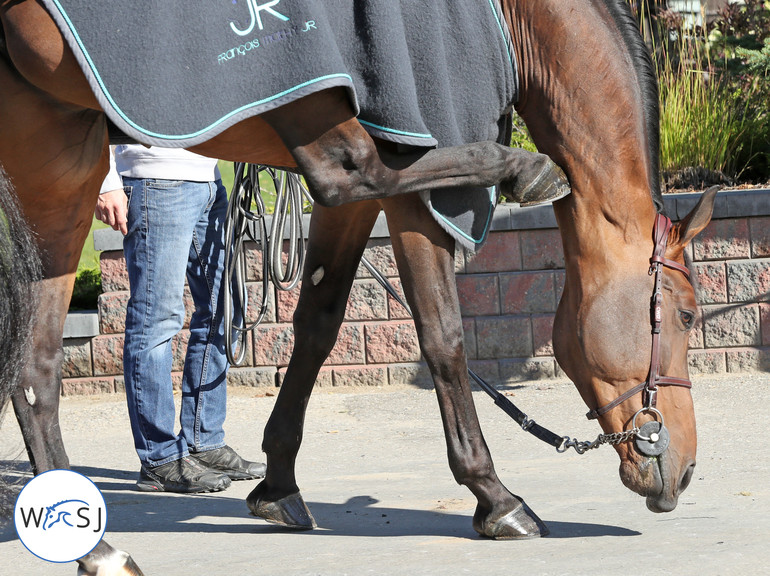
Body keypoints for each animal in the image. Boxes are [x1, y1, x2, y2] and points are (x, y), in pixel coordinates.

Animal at [0, 1, 716, 576]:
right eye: (685, 314)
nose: (683, 469)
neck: (517, 19)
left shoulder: (350, 211)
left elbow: (318, 324)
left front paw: (277, 486)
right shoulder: (413, 177)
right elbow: (442, 336)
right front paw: (494, 496)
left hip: (57, 157)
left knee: (34, 371)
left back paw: (97, 549)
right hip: (296, 92)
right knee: (350, 169)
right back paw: (524, 168)